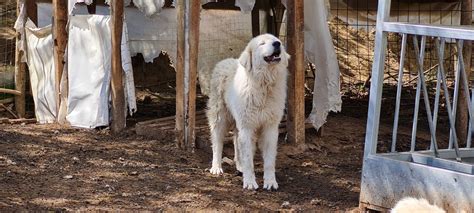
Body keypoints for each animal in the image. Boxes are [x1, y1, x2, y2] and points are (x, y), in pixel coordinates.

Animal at [206, 33, 288, 190]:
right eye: (262, 43)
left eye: (277, 40)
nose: (277, 44)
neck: (264, 85)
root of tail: (225, 61)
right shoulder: (247, 127)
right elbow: (249, 159)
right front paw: (250, 182)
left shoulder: (270, 128)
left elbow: (269, 161)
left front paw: (270, 182)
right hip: (220, 117)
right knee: (217, 143)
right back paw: (216, 167)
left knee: (236, 142)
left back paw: (240, 166)